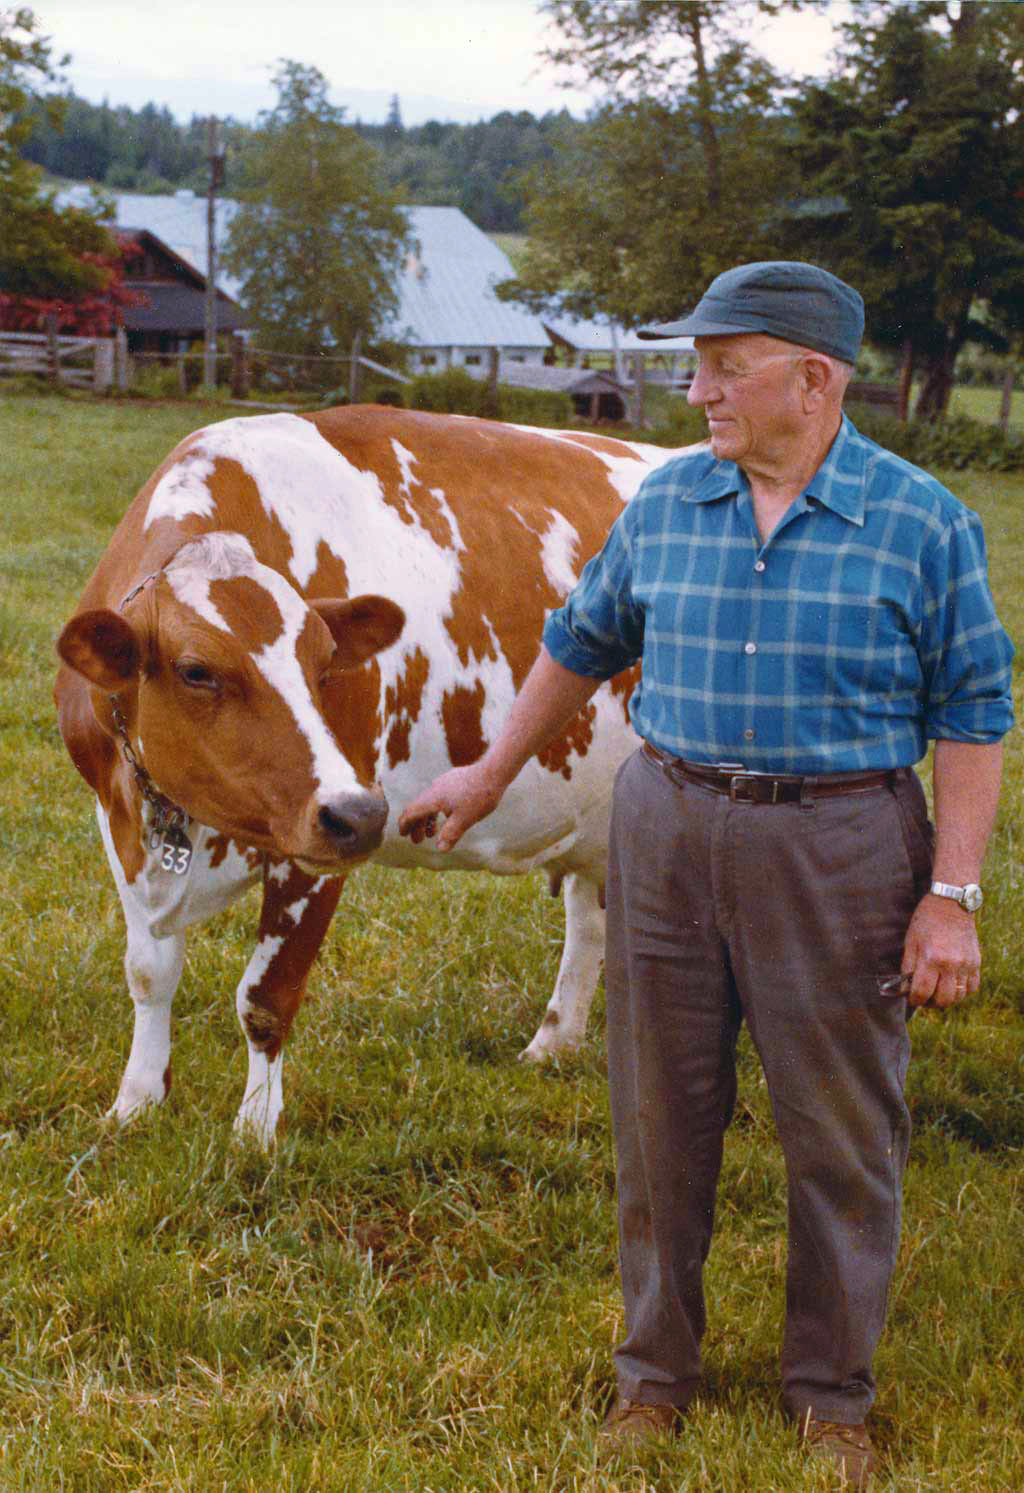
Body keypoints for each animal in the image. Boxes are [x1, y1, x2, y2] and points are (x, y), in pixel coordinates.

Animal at [54, 409, 680, 1140]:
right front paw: (135, 1102)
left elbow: (266, 995)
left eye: (326, 661)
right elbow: (149, 973)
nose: (359, 814)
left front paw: (255, 1130)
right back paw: (553, 1043)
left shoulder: (315, 846)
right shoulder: (118, 819)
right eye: (196, 670)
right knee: (589, 917)